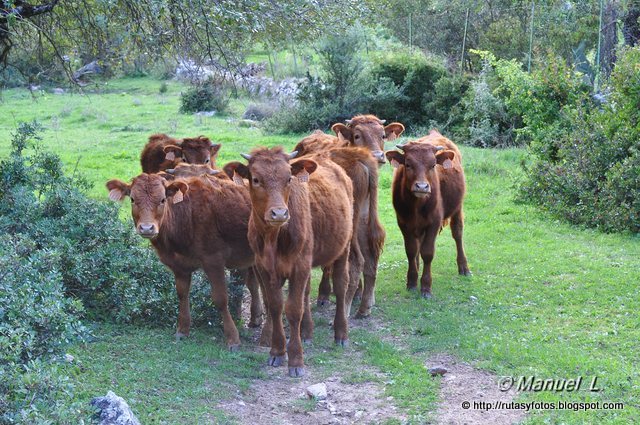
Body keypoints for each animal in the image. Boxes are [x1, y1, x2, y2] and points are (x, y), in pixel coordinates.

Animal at [107, 171, 262, 346]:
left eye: (162, 199)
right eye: (132, 199)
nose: (147, 228)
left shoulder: (213, 260)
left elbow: (221, 298)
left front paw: (232, 338)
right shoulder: (179, 265)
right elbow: (182, 294)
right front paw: (182, 330)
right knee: (254, 283)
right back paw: (256, 318)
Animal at [228, 147, 352, 376]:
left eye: (288, 179)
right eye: (256, 179)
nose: (279, 213)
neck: (273, 238)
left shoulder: (299, 266)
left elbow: (293, 309)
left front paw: (296, 360)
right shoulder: (264, 268)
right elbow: (275, 306)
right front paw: (277, 352)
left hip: (344, 246)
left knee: (341, 286)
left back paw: (341, 334)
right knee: (307, 292)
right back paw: (307, 332)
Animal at [384, 130, 470, 298]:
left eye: (432, 165)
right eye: (408, 164)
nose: (422, 187)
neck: (417, 205)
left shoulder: (434, 223)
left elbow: (428, 253)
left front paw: (425, 286)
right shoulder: (403, 222)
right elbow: (411, 250)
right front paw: (412, 281)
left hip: (458, 207)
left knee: (458, 233)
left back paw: (464, 267)